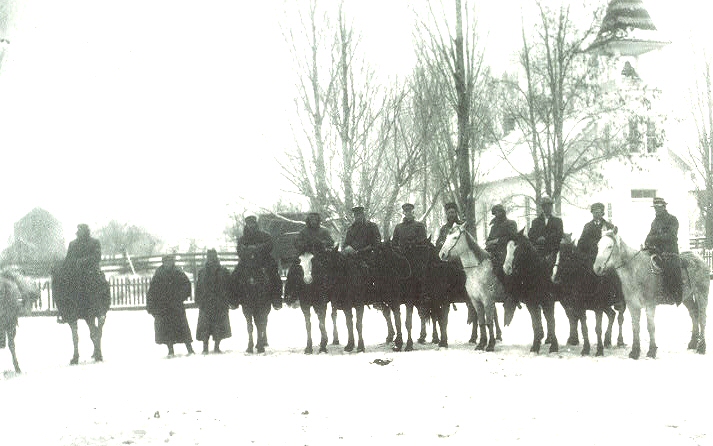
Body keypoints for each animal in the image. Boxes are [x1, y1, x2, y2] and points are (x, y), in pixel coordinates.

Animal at [436, 223, 504, 352]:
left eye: (455, 237)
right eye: (446, 236)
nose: (442, 254)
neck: (477, 270)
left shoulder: (487, 300)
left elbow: (488, 322)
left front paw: (490, 345)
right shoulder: (476, 301)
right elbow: (481, 322)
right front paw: (481, 344)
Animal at [588, 230, 708, 358]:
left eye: (610, 246)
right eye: (598, 246)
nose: (597, 268)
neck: (636, 271)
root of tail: (700, 259)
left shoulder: (650, 305)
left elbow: (650, 327)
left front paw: (652, 351)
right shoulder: (633, 306)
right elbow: (635, 327)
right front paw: (635, 351)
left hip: (701, 294)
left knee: (702, 318)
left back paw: (702, 347)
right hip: (687, 298)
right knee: (694, 315)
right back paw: (693, 343)